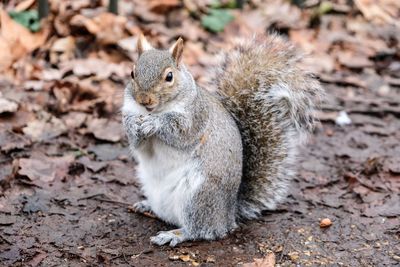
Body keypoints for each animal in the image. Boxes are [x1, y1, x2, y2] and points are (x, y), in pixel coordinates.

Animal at [121, 33, 322, 247]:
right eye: (132, 73)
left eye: (169, 77)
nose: (144, 99)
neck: (154, 110)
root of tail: (228, 216)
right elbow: (137, 144)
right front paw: (133, 125)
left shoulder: (195, 118)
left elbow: (179, 132)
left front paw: (155, 123)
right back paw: (146, 205)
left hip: (198, 197)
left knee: (200, 230)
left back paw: (175, 234)